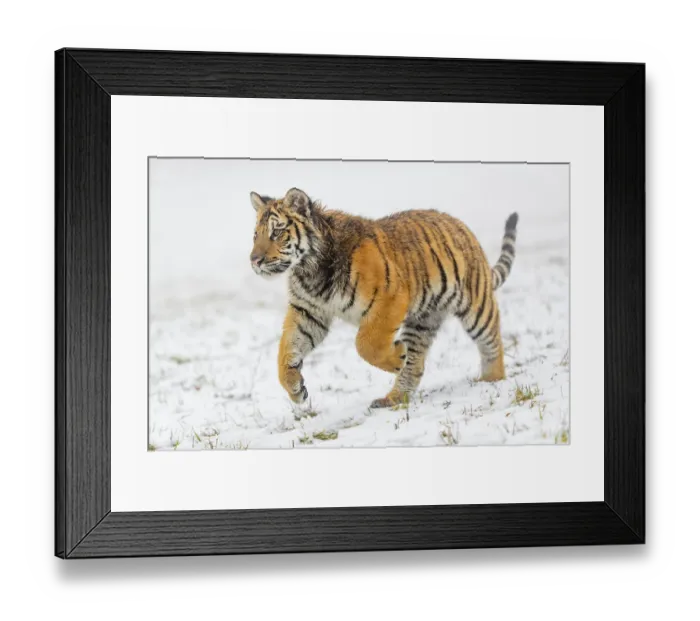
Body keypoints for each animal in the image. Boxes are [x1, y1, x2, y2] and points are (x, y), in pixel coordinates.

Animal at [248, 187, 518, 409]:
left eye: (277, 232)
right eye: (255, 235)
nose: (254, 260)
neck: (309, 270)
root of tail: (461, 225)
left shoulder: (389, 299)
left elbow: (366, 343)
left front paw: (397, 356)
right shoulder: (308, 312)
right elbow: (286, 352)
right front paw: (297, 392)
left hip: (476, 305)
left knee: (492, 341)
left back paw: (491, 379)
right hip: (423, 320)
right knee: (416, 364)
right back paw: (393, 398)